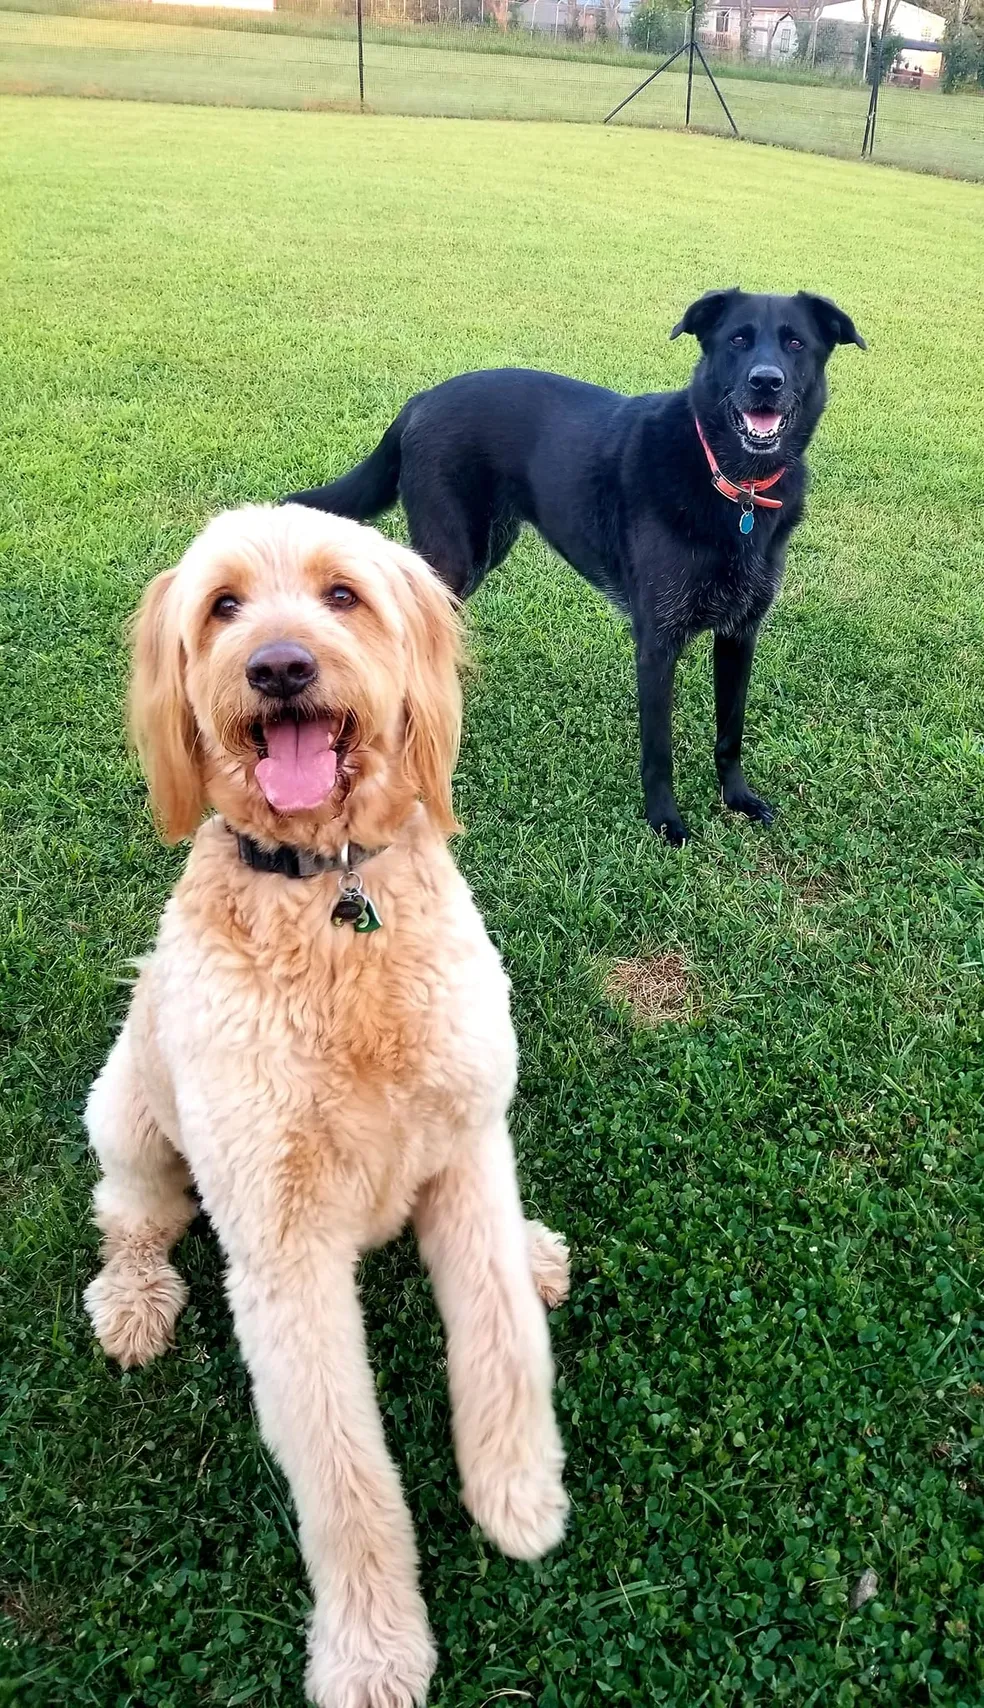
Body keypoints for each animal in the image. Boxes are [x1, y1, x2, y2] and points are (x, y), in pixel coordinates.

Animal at [88, 505, 574, 1708]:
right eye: (223, 606)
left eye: (342, 595)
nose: (278, 666)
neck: (331, 893)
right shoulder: (281, 1245)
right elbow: (343, 1471)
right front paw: (373, 1650)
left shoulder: (470, 1141)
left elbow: (501, 1339)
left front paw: (519, 1495)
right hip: (126, 1110)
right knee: (131, 1214)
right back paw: (131, 1302)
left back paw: (538, 1250)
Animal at [281, 290, 861, 843]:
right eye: (738, 340)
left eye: (795, 343)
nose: (766, 382)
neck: (734, 484)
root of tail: (420, 400)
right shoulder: (657, 642)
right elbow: (659, 750)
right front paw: (664, 821)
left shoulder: (740, 632)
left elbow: (731, 730)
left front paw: (737, 798)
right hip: (456, 556)